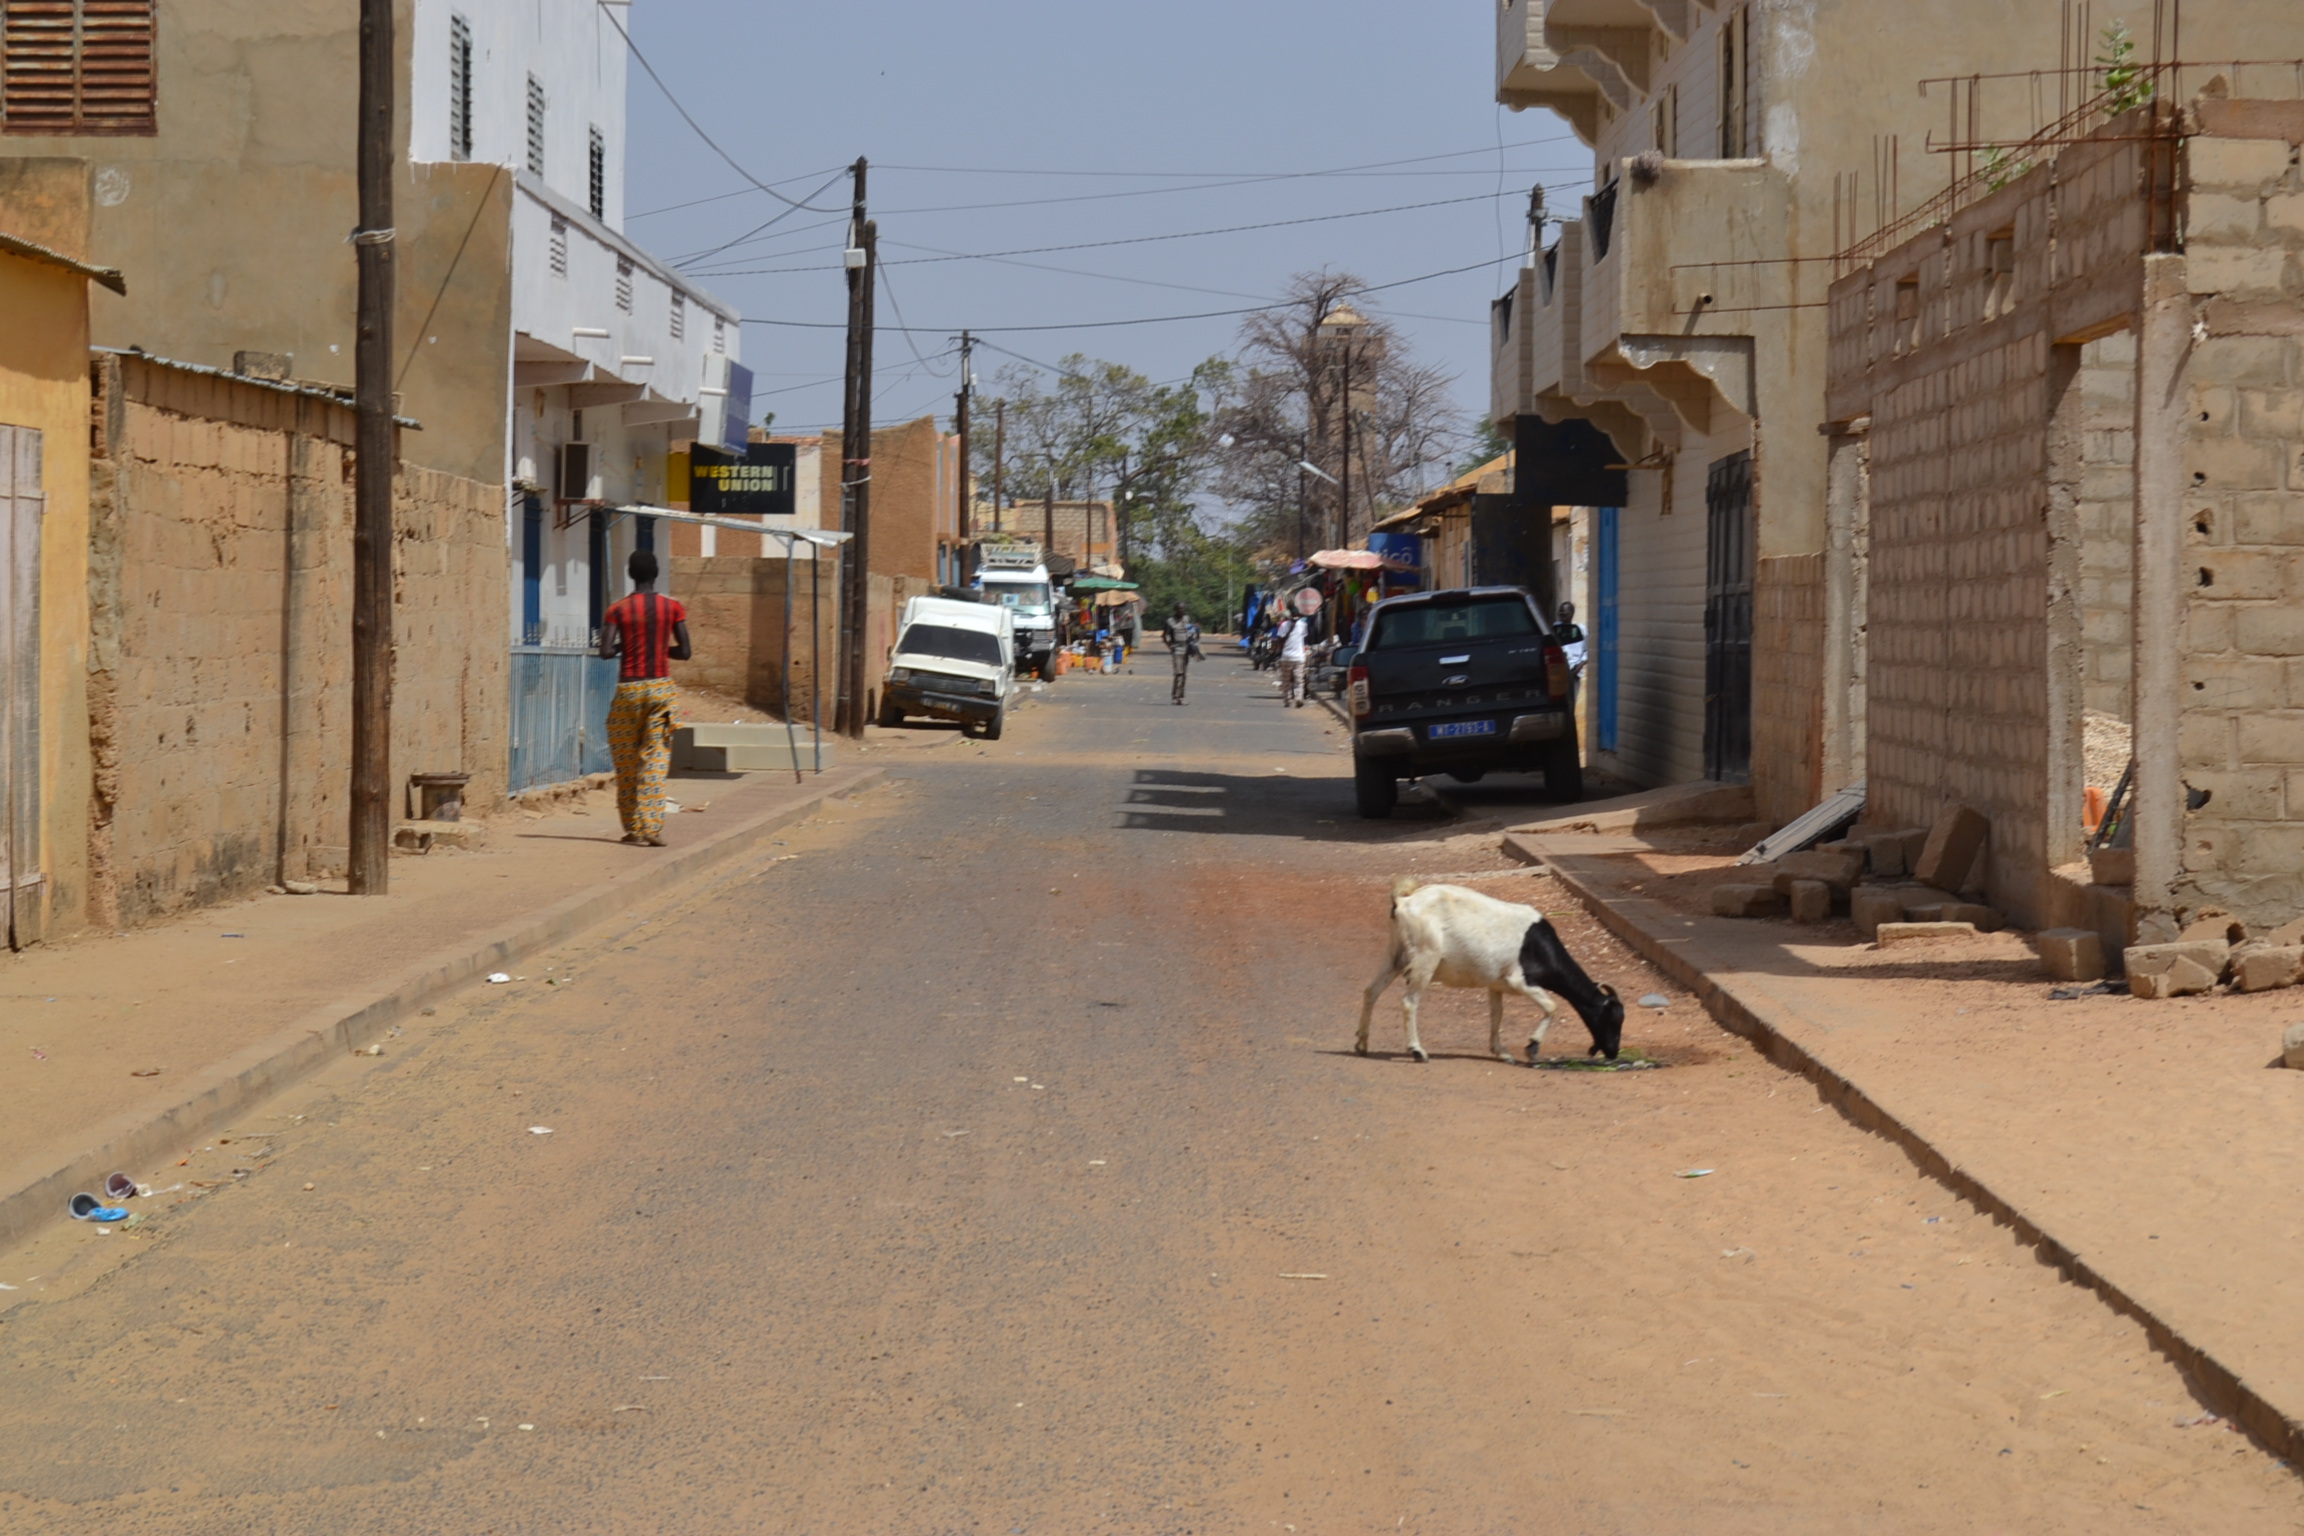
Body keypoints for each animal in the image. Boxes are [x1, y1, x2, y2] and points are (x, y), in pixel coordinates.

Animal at [1354, 875, 1631, 1068]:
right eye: (1614, 1018)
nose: (1613, 1052)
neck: (1541, 947)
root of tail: (1403, 900)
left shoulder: (1496, 984)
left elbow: (1497, 1015)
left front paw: (1502, 1052)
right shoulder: (1520, 981)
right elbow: (1551, 1007)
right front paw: (1532, 1047)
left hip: (1395, 956)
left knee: (1371, 991)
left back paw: (1361, 1043)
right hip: (1425, 958)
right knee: (1409, 1002)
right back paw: (1417, 1051)